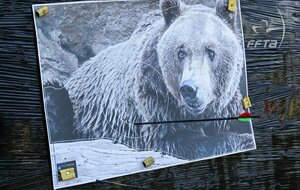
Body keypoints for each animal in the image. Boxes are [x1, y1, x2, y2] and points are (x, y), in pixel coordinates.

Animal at [55, 0, 253, 160]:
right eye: (181, 52)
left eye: (211, 52)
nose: (189, 89)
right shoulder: (155, 98)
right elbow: (177, 140)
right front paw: (244, 140)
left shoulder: (225, 106)